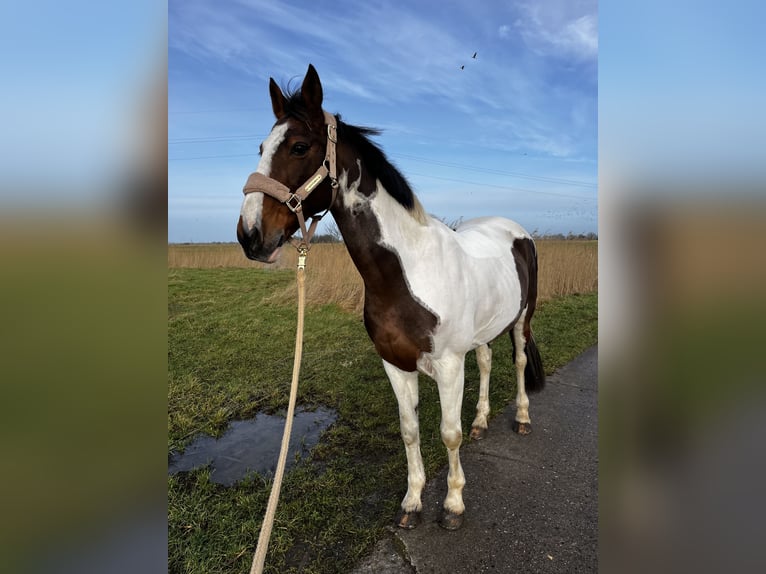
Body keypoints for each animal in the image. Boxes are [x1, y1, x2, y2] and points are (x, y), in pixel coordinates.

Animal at [237, 65, 544, 532]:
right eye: (260, 148)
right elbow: (410, 431)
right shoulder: (395, 364)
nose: (250, 236)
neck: (409, 272)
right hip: (484, 330)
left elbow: (448, 433)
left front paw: (453, 505)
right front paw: (412, 502)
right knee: (487, 362)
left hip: (522, 319)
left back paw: (522, 419)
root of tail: (515, 229)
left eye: (299, 146)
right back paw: (482, 422)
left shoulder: (449, 366)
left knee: (520, 361)